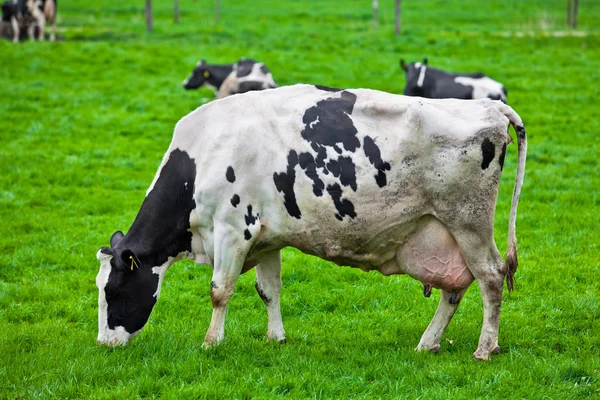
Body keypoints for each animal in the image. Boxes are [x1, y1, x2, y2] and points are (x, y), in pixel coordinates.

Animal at [96, 83, 528, 360]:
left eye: (113, 290)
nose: (103, 344)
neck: (203, 156)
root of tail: (489, 106)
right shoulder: (266, 238)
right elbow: (268, 291)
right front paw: (276, 338)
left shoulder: (233, 230)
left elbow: (220, 291)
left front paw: (210, 343)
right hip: (442, 233)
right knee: (454, 288)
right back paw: (428, 343)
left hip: (468, 222)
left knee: (491, 277)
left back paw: (484, 348)